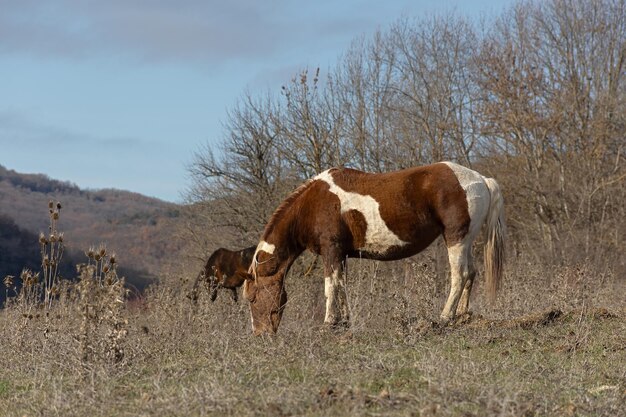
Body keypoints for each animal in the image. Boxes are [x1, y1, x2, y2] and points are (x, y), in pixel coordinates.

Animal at [241, 161, 504, 334]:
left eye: (253, 298)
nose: (260, 334)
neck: (312, 204)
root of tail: (481, 180)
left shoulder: (331, 251)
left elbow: (330, 287)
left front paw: (329, 322)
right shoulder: (341, 255)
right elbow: (341, 286)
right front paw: (344, 322)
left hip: (455, 238)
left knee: (459, 275)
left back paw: (444, 317)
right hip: (466, 241)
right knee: (471, 273)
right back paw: (462, 316)